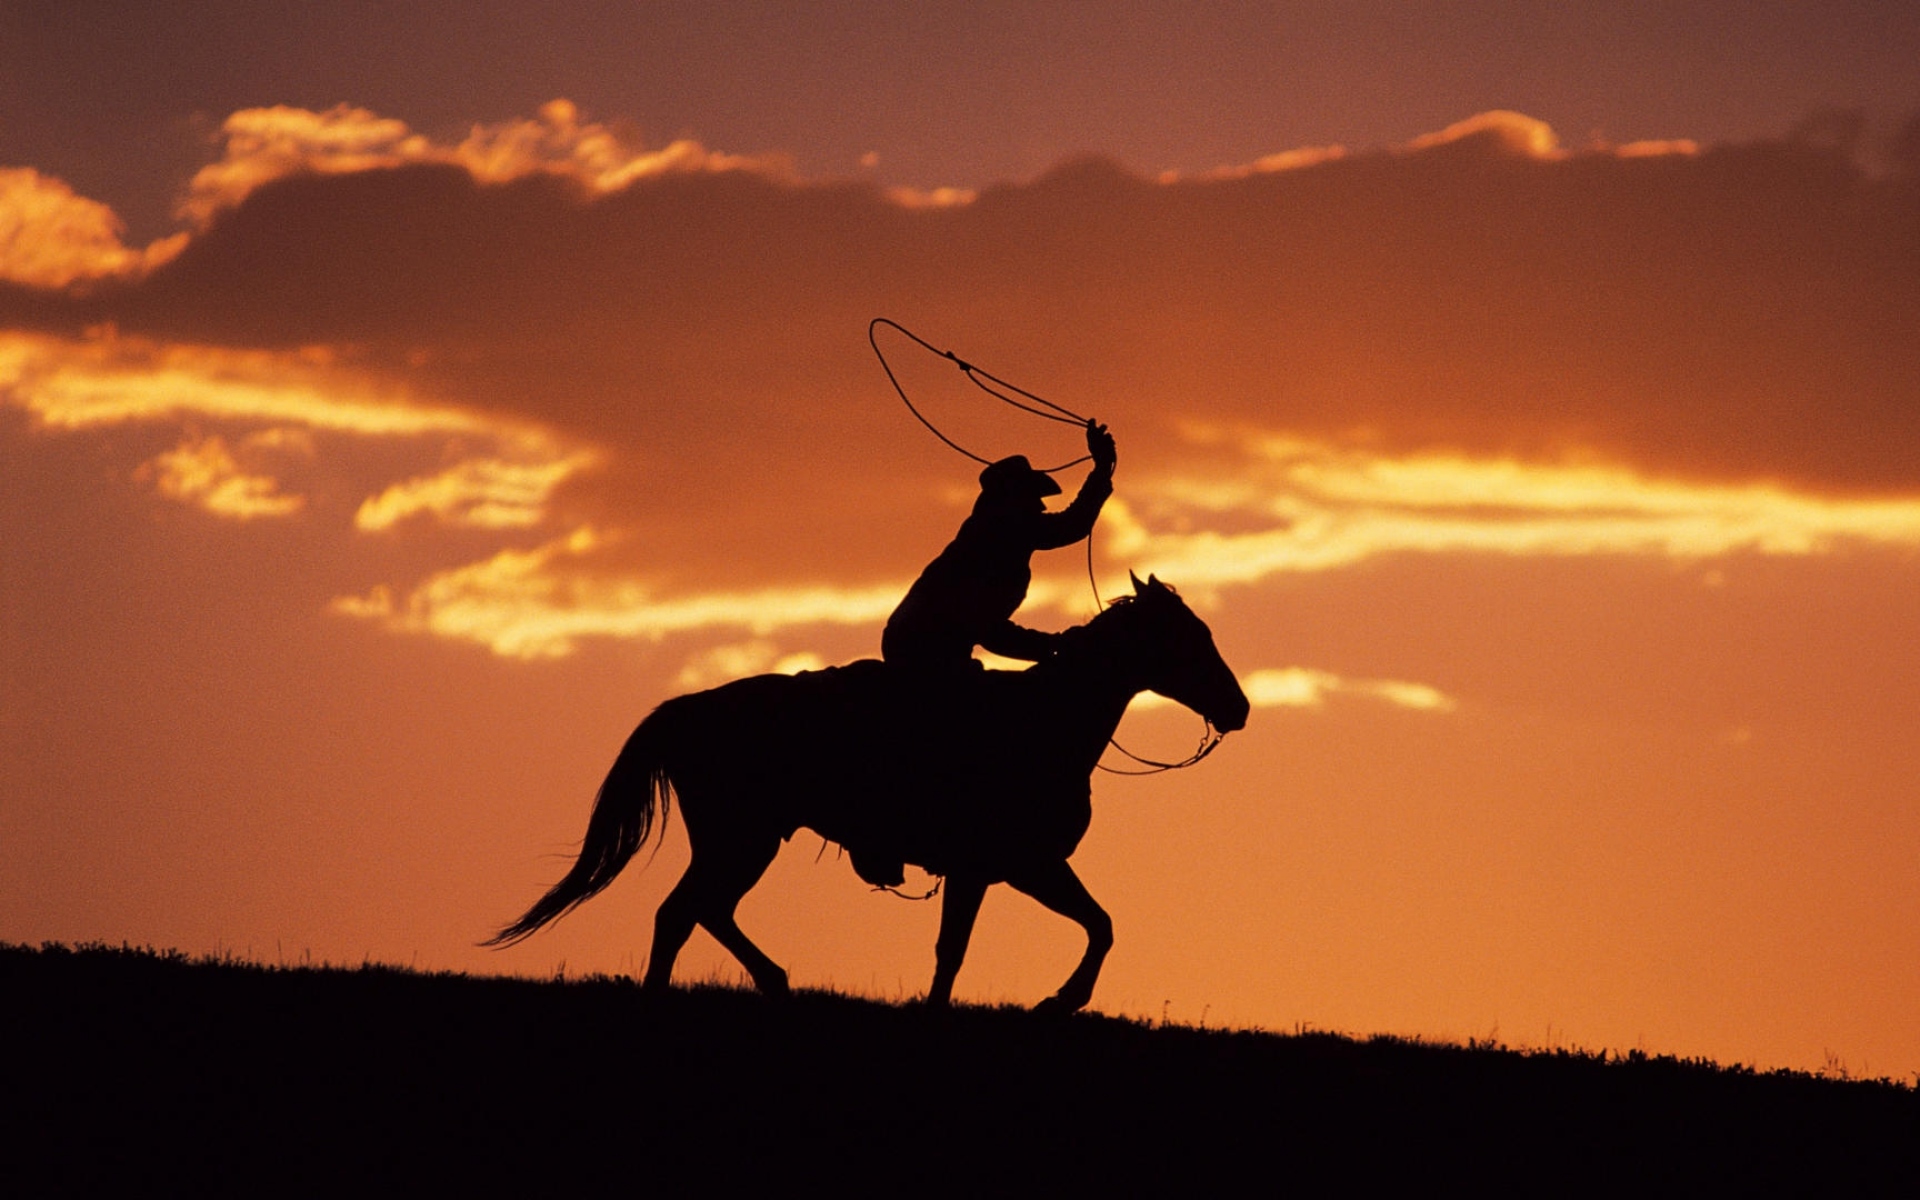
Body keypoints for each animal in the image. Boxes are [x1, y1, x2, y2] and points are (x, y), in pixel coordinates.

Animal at [487, 573, 1250, 1012]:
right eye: (1189, 637)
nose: (1239, 708)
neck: (1044, 721)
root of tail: (689, 707)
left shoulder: (1023, 868)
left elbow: (1098, 924)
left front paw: (1057, 1000)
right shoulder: (1001, 868)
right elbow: (964, 949)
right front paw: (1052, 1001)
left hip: (744, 842)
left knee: (704, 911)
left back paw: (773, 981)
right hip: (741, 838)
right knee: (682, 913)